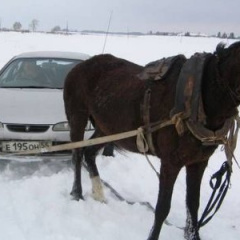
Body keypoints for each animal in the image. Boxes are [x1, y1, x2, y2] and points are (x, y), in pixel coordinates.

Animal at [63, 41, 240, 240]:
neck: (199, 99)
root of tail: (78, 67)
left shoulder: (198, 162)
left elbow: (193, 205)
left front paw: (193, 235)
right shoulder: (171, 163)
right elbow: (162, 208)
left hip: (106, 128)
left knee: (89, 153)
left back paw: (99, 193)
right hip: (77, 117)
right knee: (77, 154)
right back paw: (77, 193)